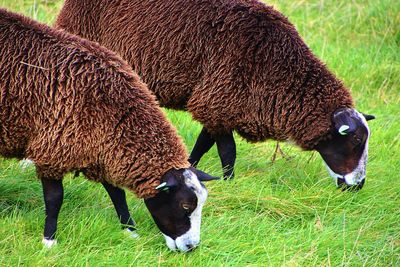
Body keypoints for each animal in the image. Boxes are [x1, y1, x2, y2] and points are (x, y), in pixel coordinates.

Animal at [0, 7, 219, 252]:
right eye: (185, 206)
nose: (191, 247)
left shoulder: (101, 149)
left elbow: (117, 193)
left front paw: (130, 230)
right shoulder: (52, 149)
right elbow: (55, 198)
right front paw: (49, 240)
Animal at [56, 0, 376, 189]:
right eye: (354, 140)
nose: (358, 185)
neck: (277, 67)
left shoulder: (218, 105)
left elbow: (203, 143)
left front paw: (192, 170)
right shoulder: (219, 100)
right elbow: (227, 151)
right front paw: (230, 183)